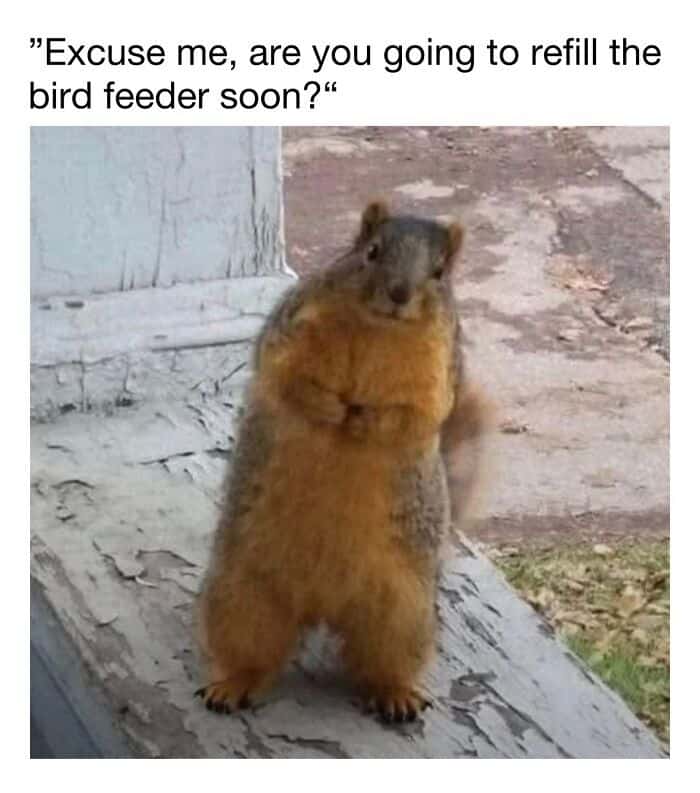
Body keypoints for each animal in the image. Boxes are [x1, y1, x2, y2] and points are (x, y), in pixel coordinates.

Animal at [195, 200, 490, 723]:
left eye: (439, 272)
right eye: (371, 251)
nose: (399, 294)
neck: (380, 330)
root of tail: (322, 605)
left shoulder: (437, 372)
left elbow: (415, 415)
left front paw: (363, 422)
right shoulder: (292, 330)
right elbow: (287, 377)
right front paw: (331, 410)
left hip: (403, 613)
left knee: (382, 661)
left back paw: (396, 694)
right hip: (241, 593)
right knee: (251, 651)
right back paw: (232, 684)